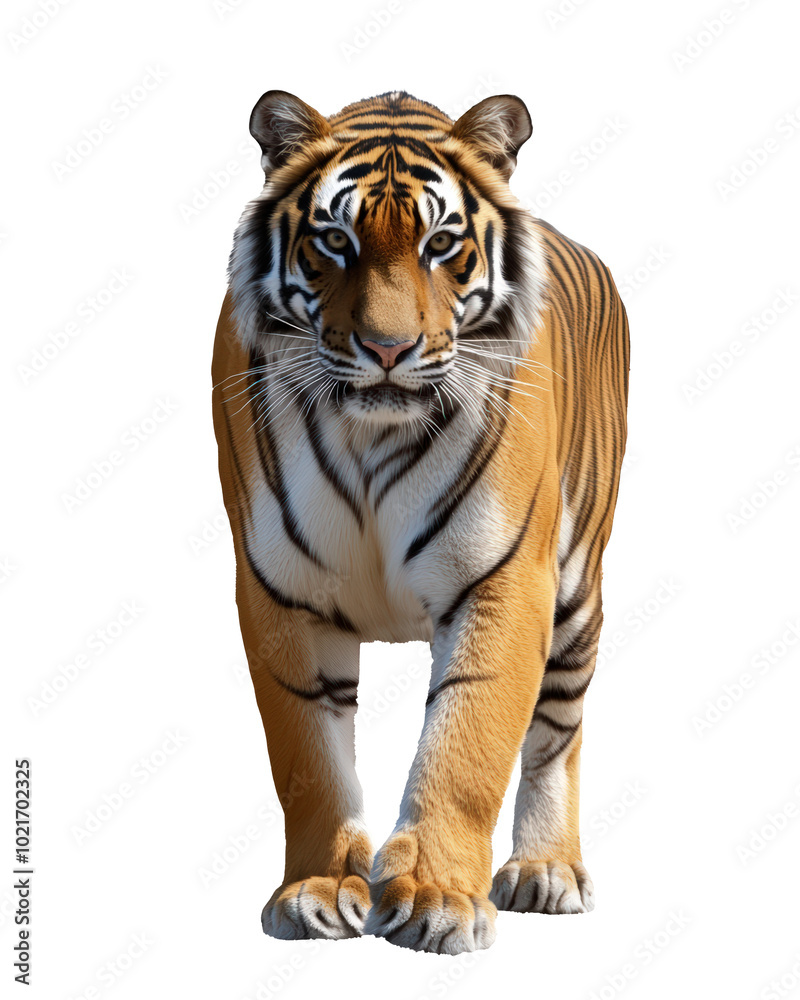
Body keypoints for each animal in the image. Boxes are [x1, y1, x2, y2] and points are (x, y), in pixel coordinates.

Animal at [211, 88, 629, 955]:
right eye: (334, 241)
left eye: (442, 243)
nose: (387, 348)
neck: (373, 436)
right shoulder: (280, 591)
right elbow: (308, 758)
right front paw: (316, 891)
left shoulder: (505, 581)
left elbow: (466, 742)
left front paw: (437, 898)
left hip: (578, 593)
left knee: (558, 731)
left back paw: (546, 871)